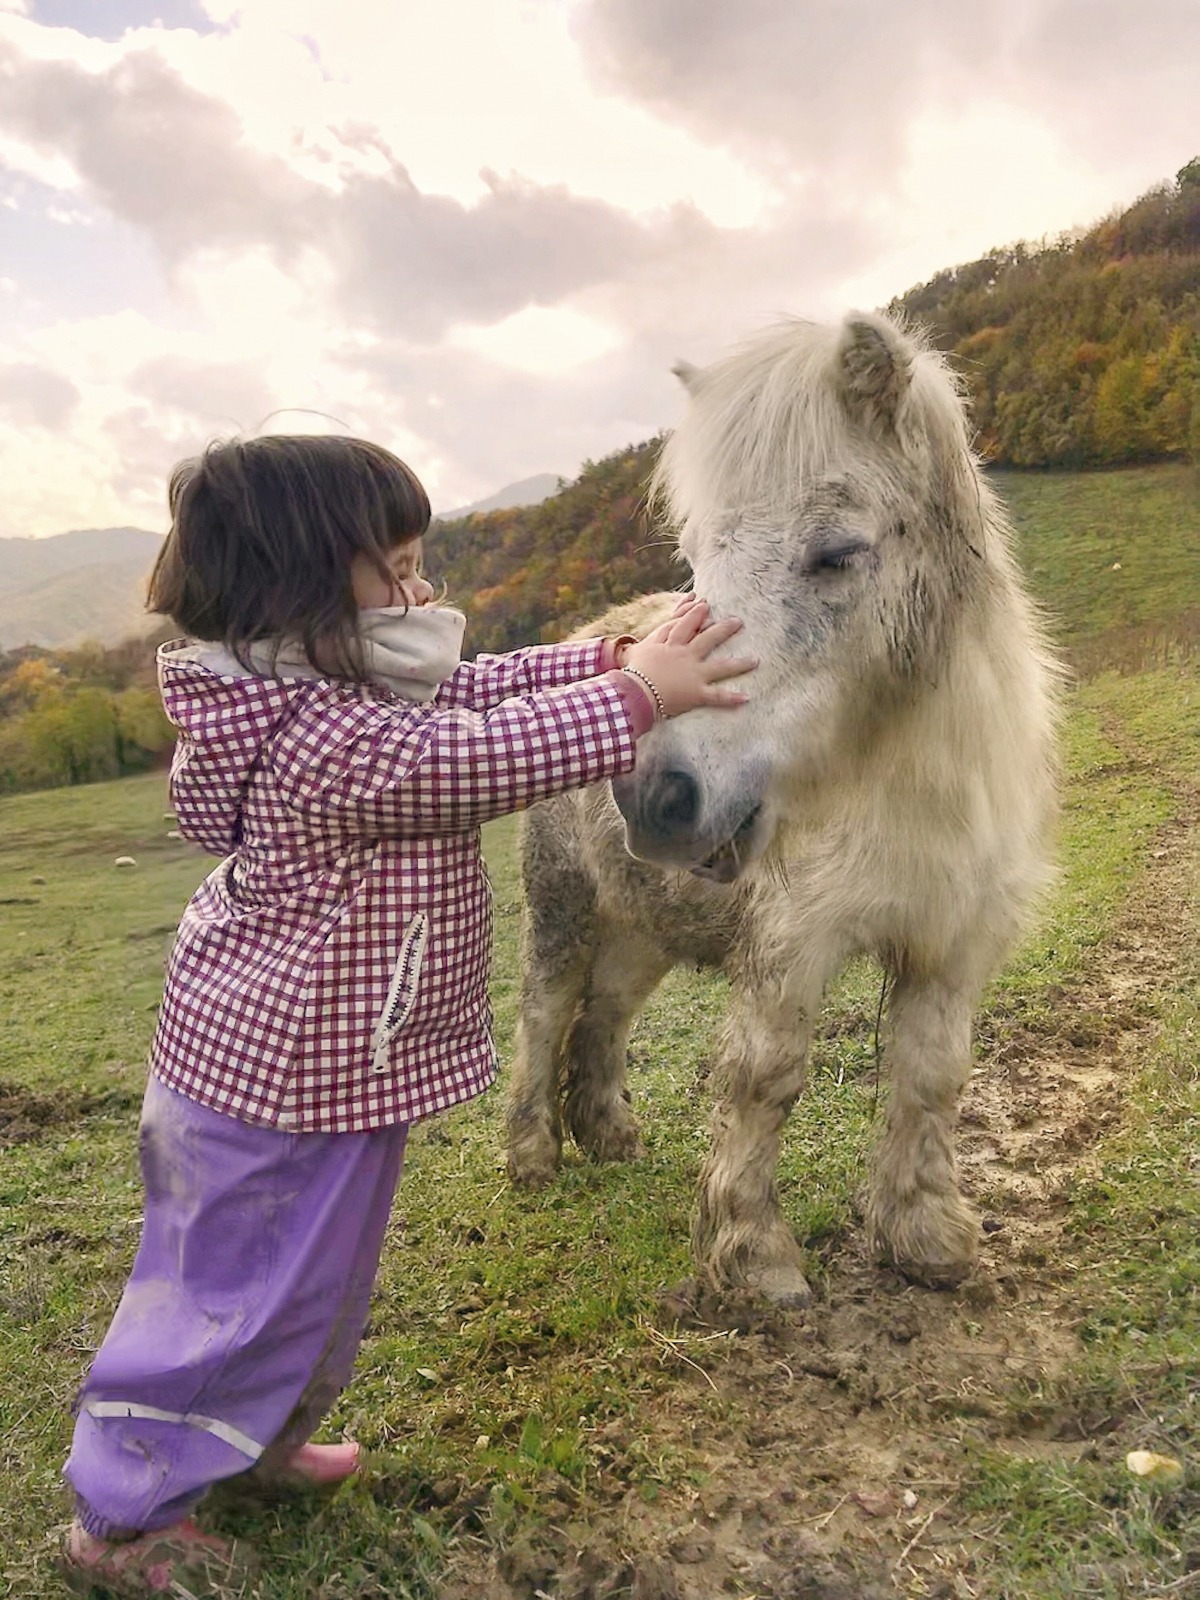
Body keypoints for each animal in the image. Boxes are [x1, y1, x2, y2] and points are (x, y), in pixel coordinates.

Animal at [508, 308, 1062, 1299]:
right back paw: (535, 1156)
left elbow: (933, 1076)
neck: (897, 772)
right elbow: (765, 1078)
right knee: (544, 1012)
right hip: (564, 910)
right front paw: (755, 1255)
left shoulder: (951, 939)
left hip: (643, 926)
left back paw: (610, 1138)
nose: (655, 795)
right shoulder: (794, 939)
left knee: (604, 1017)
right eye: (696, 562)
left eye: (836, 552)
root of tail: (582, 637)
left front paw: (927, 1237)